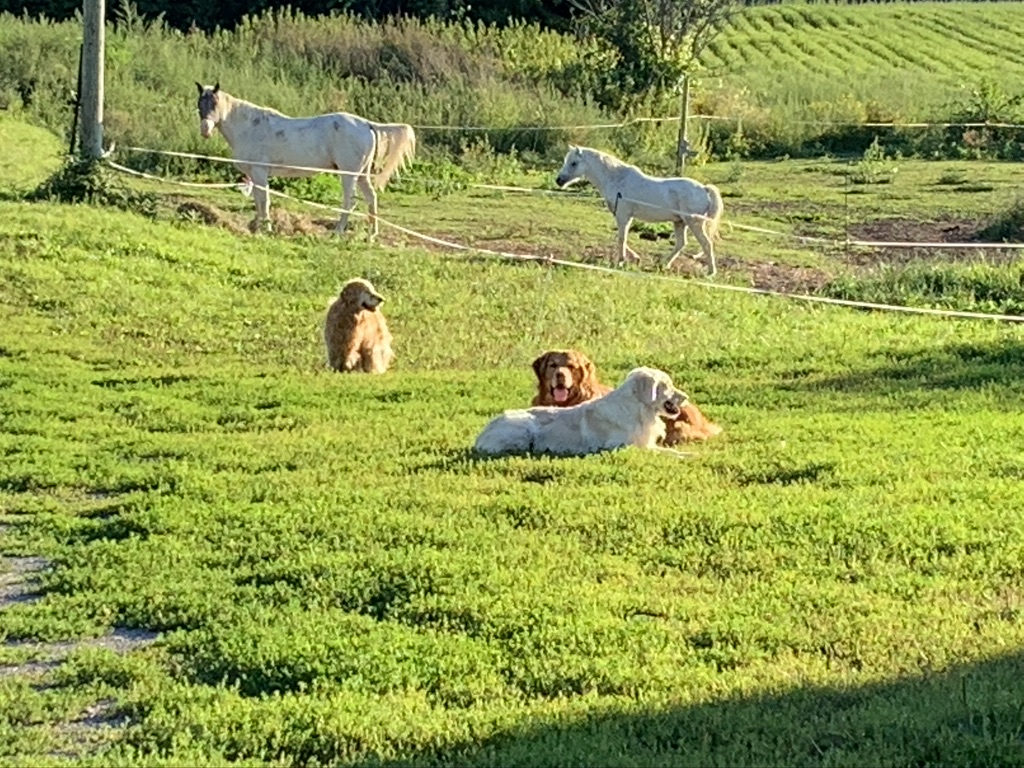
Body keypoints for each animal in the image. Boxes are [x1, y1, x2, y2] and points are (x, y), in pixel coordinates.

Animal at [193, 82, 413, 236]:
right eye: (199, 105)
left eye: (215, 104)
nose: (205, 130)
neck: (249, 127)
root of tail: (366, 124)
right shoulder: (254, 175)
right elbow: (258, 200)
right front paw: (257, 226)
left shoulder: (260, 172)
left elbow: (264, 200)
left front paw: (268, 229)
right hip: (361, 175)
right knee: (371, 198)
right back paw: (371, 235)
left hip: (348, 175)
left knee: (349, 202)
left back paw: (337, 232)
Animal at [473, 366, 688, 456]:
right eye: (667, 385)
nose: (686, 397)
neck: (637, 408)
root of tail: (480, 436)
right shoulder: (622, 446)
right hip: (524, 427)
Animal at [557, 145, 724, 276]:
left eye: (573, 163)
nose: (558, 181)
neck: (617, 179)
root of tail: (704, 189)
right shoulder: (624, 216)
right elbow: (621, 237)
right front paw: (635, 259)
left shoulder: (623, 215)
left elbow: (621, 238)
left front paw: (621, 262)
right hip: (679, 222)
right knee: (681, 243)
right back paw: (663, 264)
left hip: (694, 223)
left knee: (706, 244)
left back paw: (711, 273)